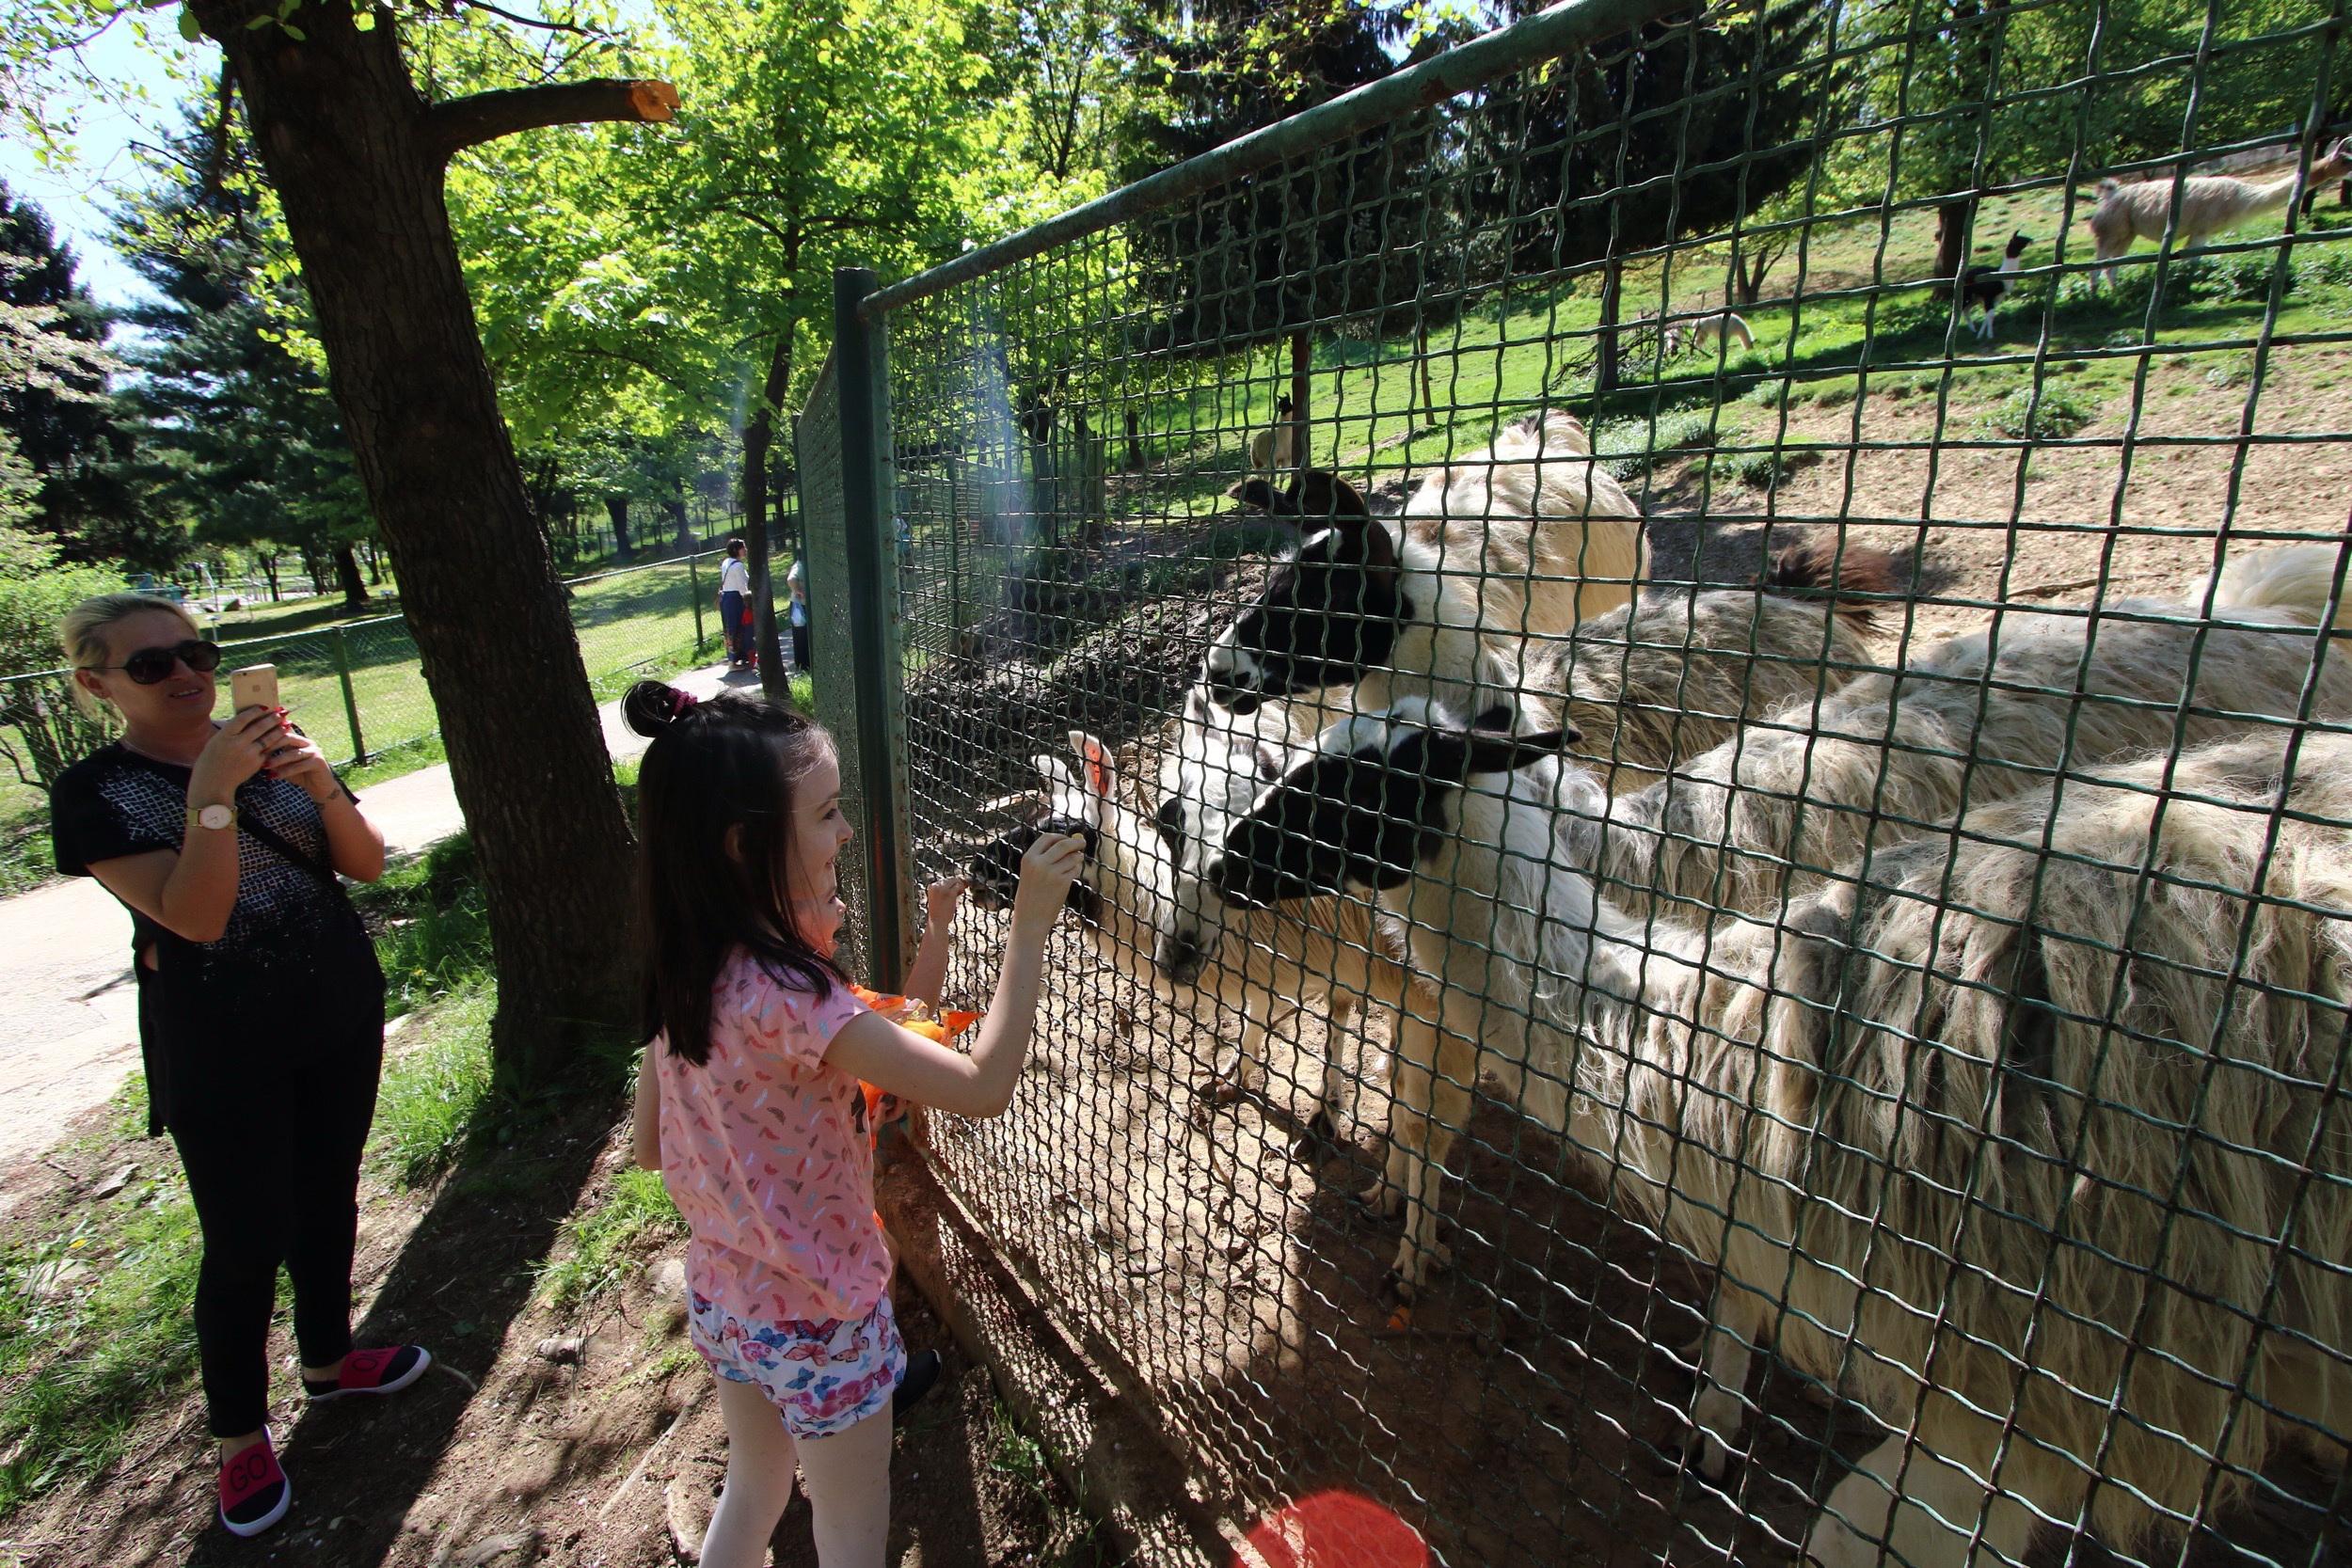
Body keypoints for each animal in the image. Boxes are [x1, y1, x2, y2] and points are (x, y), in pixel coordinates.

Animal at [2098, 137, 2352, 285]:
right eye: (2346, 160)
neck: (2243, 198)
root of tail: (2110, 196)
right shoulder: (2201, 228)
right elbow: (2193, 261)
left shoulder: (2201, 231)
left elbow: (2191, 260)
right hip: (2113, 229)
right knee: (2101, 261)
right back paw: (2097, 292)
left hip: (2127, 232)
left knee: (2113, 263)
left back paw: (2114, 290)